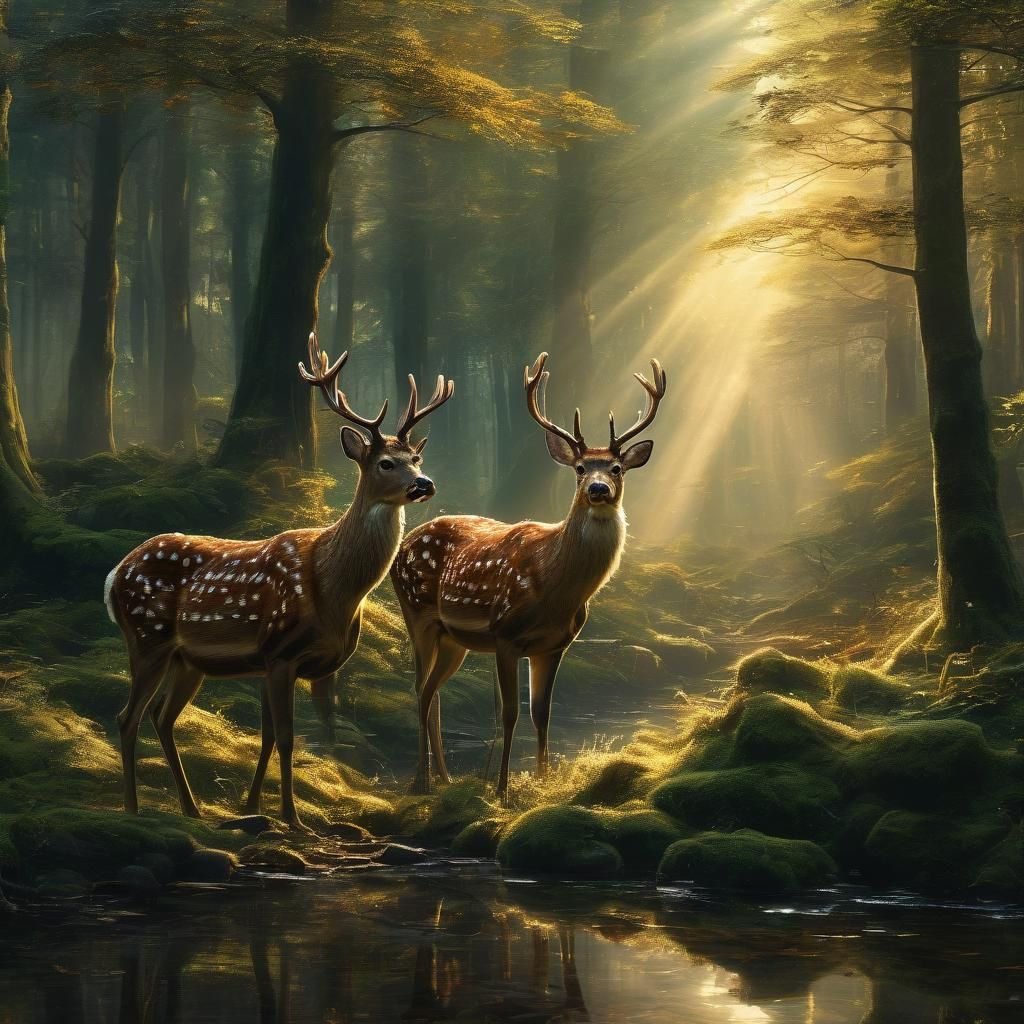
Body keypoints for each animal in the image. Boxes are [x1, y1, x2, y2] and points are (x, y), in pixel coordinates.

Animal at [105, 333, 454, 828]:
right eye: (386, 463)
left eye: (416, 457)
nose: (424, 483)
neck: (333, 589)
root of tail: (115, 574)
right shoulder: (280, 650)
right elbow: (287, 738)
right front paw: (293, 818)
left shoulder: (269, 661)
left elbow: (269, 736)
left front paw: (253, 808)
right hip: (146, 637)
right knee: (127, 716)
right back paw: (134, 810)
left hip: (186, 660)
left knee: (161, 716)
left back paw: (192, 809)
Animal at [391, 351, 665, 799]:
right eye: (580, 468)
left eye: (617, 468)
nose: (598, 490)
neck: (556, 590)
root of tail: (403, 543)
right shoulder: (505, 635)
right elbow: (509, 715)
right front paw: (502, 789)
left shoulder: (554, 645)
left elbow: (542, 713)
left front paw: (543, 780)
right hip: (416, 613)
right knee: (419, 689)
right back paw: (421, 780)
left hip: (454, 639)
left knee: (432, 691)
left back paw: (443, 778)